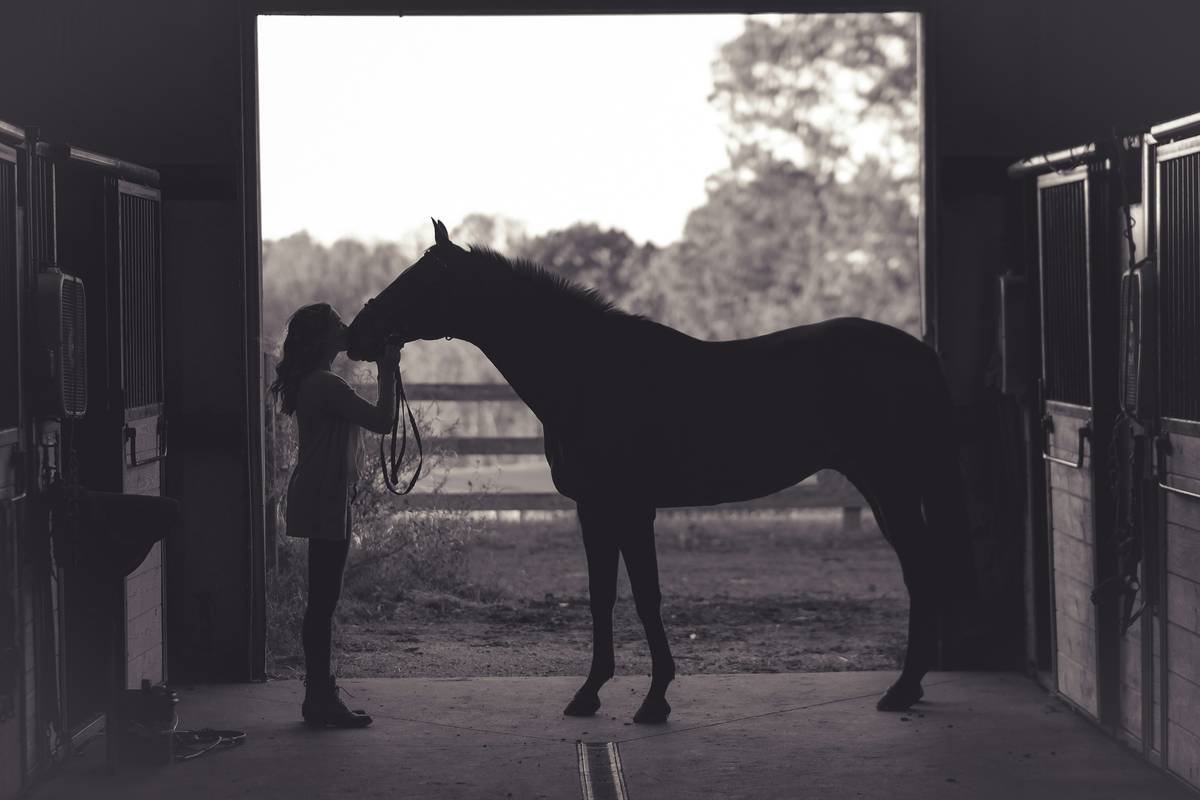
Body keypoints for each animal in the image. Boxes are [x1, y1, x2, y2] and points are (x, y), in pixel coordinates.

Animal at [347, 218, 973, 724]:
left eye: (421, 280)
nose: (356, 334)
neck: (589, 372)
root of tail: (919, 353)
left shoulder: (631, 507)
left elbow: (646, 596)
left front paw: (654, 700)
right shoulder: (593, 508)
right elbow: (602, 595)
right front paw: (589, 694)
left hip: (892, 485)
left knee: (921, 571)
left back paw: (902, 689)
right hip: (883, 488)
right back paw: (909, 688)